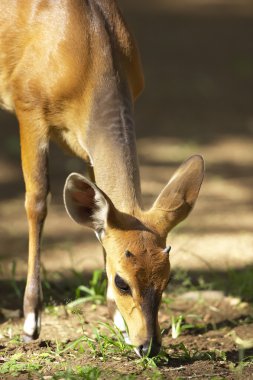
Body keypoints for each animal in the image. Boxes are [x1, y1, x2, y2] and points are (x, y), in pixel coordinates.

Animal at [0, 0, 204, 358]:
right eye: (122, 281)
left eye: (167, 279)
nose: (148, 345)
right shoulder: (29, 107)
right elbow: (37, 202)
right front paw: (30, 323)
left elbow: (100, 221)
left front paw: (118, 323)